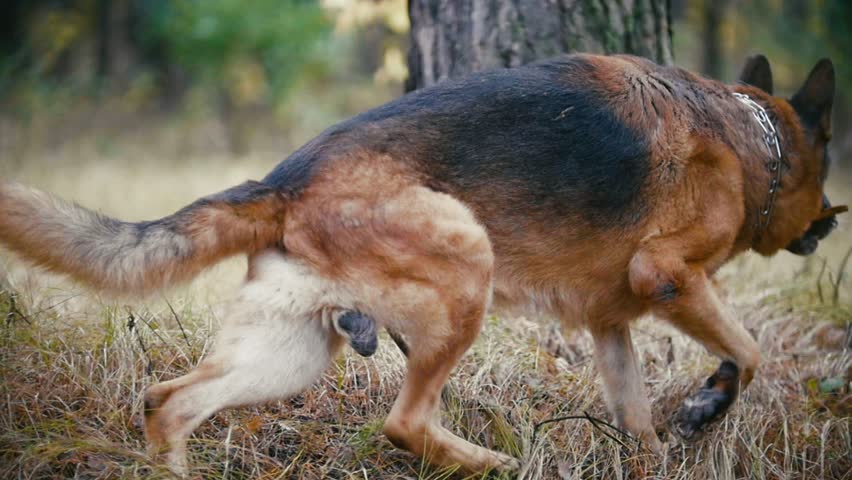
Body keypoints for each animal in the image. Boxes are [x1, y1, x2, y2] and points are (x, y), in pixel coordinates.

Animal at [0, 52, 844, 472]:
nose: (831, 224)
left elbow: (637, 419)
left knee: (169, 401)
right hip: (467, 265)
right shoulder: (667, 276)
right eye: (828, 158)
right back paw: (488, 464)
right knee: (404, 423)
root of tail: (283, 181)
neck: (753, 138)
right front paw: (709, 404)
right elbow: (750, 353)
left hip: (291, 354)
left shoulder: (612, 328)